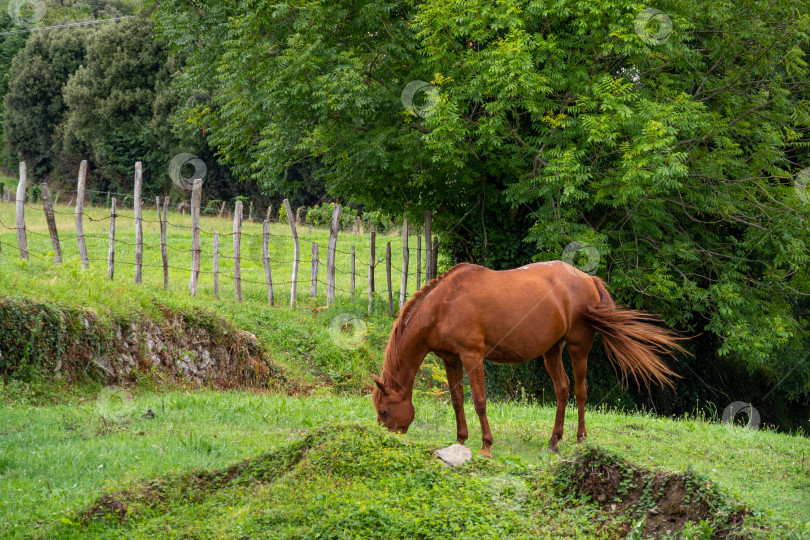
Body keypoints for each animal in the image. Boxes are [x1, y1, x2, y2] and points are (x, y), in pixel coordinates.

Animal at [370, 262, 680, 456]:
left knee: (580, 391)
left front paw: (486, 445)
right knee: (562, 389)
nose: (386, 440)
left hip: (578, 348)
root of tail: (587, 278)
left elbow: (479, 401)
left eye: (383, 411)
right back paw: (554, 441)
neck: (443, 305)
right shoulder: (451, 359)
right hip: (552, 351)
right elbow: (457, 400)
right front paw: (460, 440)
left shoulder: (472, 356)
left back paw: (580, 439)